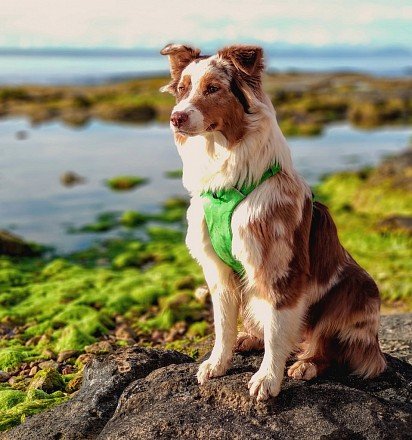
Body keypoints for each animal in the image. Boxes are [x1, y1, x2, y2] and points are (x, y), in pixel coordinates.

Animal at [160, 43, 386, 400]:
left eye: (213, 88)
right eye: (182, 90)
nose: (176, 117)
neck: (227, 171)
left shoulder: (281, 268)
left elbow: (278, 332)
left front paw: (267, 379)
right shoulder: (218, 272)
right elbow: (223, 326)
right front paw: (217, 363)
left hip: (358, 290)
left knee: (327, 346)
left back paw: (307, 364)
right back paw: (249, 339)